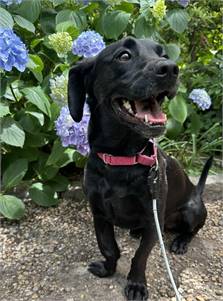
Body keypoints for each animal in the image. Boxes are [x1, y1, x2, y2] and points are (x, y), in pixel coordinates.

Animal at [67, 38, 213, 300]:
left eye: (163, 54)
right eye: (124, 56)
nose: (171, 68)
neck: (120, 161)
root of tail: (197, 192)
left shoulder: (152, 218)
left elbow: (140, 257)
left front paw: (136, 284)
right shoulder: (99, 213)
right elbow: (109, 248)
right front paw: (107, 269)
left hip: (191, 211)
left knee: (193, 229)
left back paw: (181, 241)